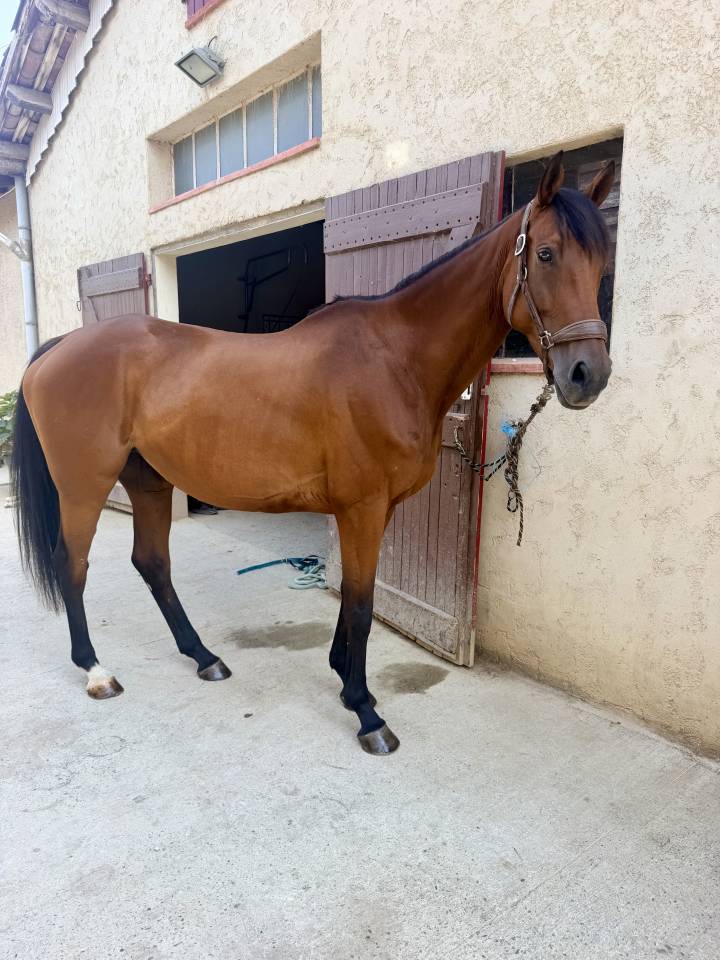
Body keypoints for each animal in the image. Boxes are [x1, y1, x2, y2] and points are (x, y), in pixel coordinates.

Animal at [11, 152, 614, 755]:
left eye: (602, 260)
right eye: (545, 253)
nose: (588, 375)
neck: (394, 360)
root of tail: (57, 347)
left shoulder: (374, 511)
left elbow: (351, 599)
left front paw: (346, 685)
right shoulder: (362, 509)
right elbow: (363, 605)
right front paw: (367, 712)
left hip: (149, 480)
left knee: (152, 563)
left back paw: (204, 657)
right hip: (85, 486)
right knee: (73, 564)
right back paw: (96, 671)